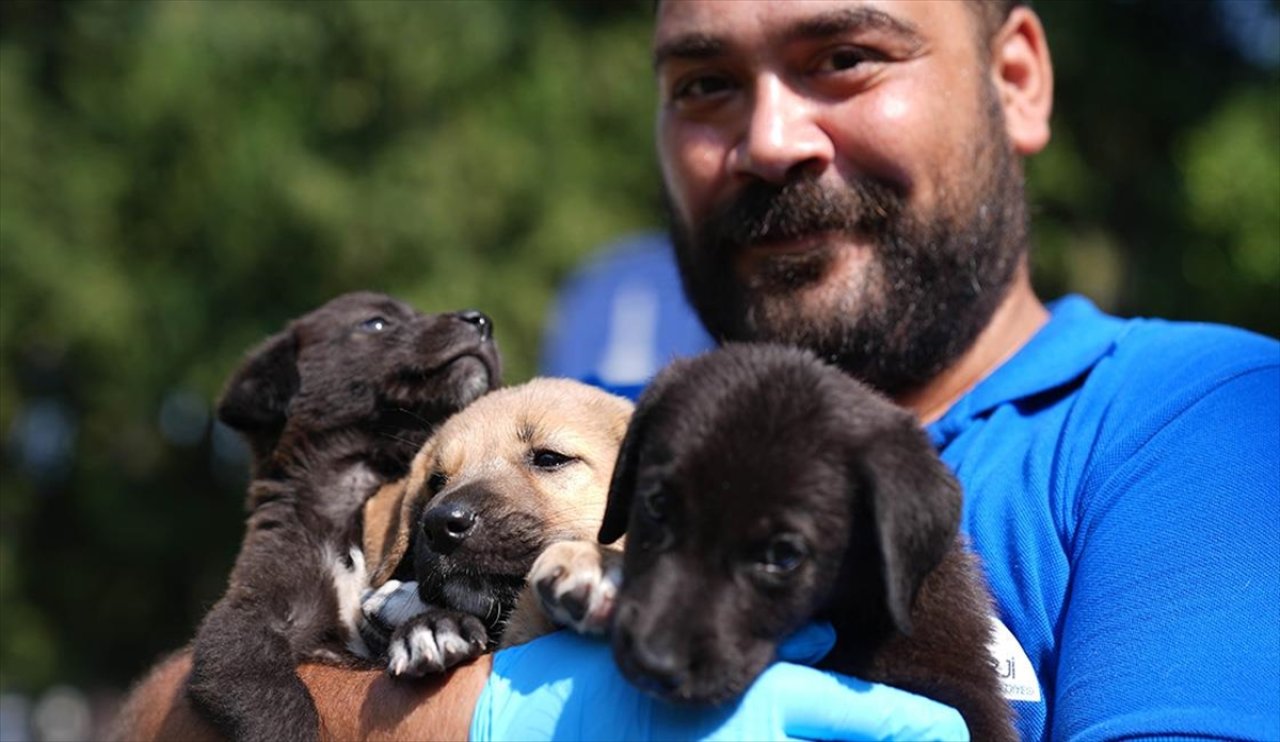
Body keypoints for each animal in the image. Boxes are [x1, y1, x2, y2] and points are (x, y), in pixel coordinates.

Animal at [185, 291, 499, 742]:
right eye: (376, 323)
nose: (482, 321)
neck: (359, 495)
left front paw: (436, 627)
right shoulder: (246, 618)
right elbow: (270, 697)